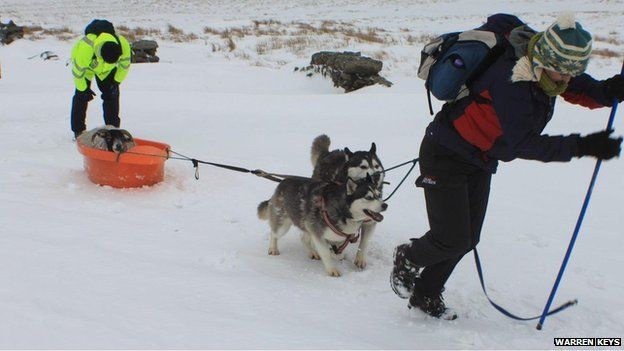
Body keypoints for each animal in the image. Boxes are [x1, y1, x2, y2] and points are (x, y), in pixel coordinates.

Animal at [258, 176, 386, 278]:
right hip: (283, 226)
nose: (385, 205)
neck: (343, 211)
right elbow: (325, 252)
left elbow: (342, 250)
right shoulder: (317, 233)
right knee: (274, 233)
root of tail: (283, 182)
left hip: (306, 224)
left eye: (379, 195)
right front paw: (332, 269)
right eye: (368, 197)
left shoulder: (339, 236)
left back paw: (312, 252)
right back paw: (273, 248)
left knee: (303, 238)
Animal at [308, 136, 382, 268]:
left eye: (376, 166)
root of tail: (328, 153)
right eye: (363, 166)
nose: (377, 175)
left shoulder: (370, 220)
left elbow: (364, 241)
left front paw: (360, 258)